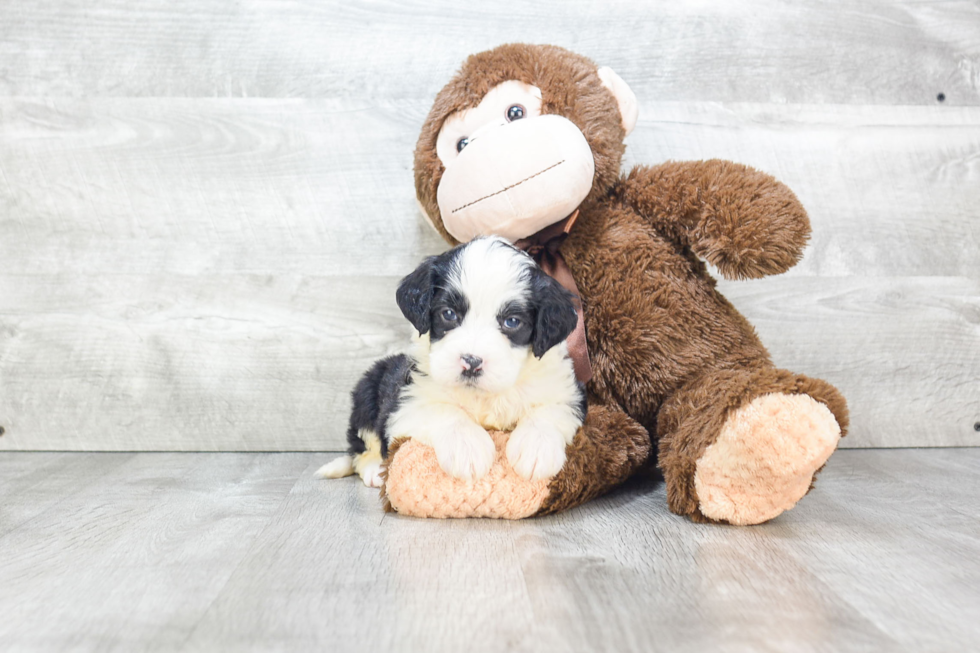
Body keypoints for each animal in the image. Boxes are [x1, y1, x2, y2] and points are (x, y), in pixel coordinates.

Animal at [318, 234, 584, 484]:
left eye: (512, 321)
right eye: (448, 314)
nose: (472, 362)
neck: (482, 396)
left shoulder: (568, 393)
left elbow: (549, 410)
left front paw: (537, 449)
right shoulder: (405, 402)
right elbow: (443, 410)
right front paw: (468, 449)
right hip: (367, 393)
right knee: (362, 446)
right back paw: (375, 470)